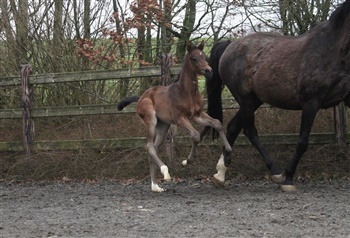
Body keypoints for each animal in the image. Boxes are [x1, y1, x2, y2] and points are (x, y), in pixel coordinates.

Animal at [204, 0, 348, 192]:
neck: (334, 48)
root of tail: (230, 45)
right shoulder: (311, 102)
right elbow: (302, 142)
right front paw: (289, 179)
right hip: (245, 98)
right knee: (249, 131)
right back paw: (276, 172)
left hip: (254, 100)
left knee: (233, 127)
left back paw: (220, 173)